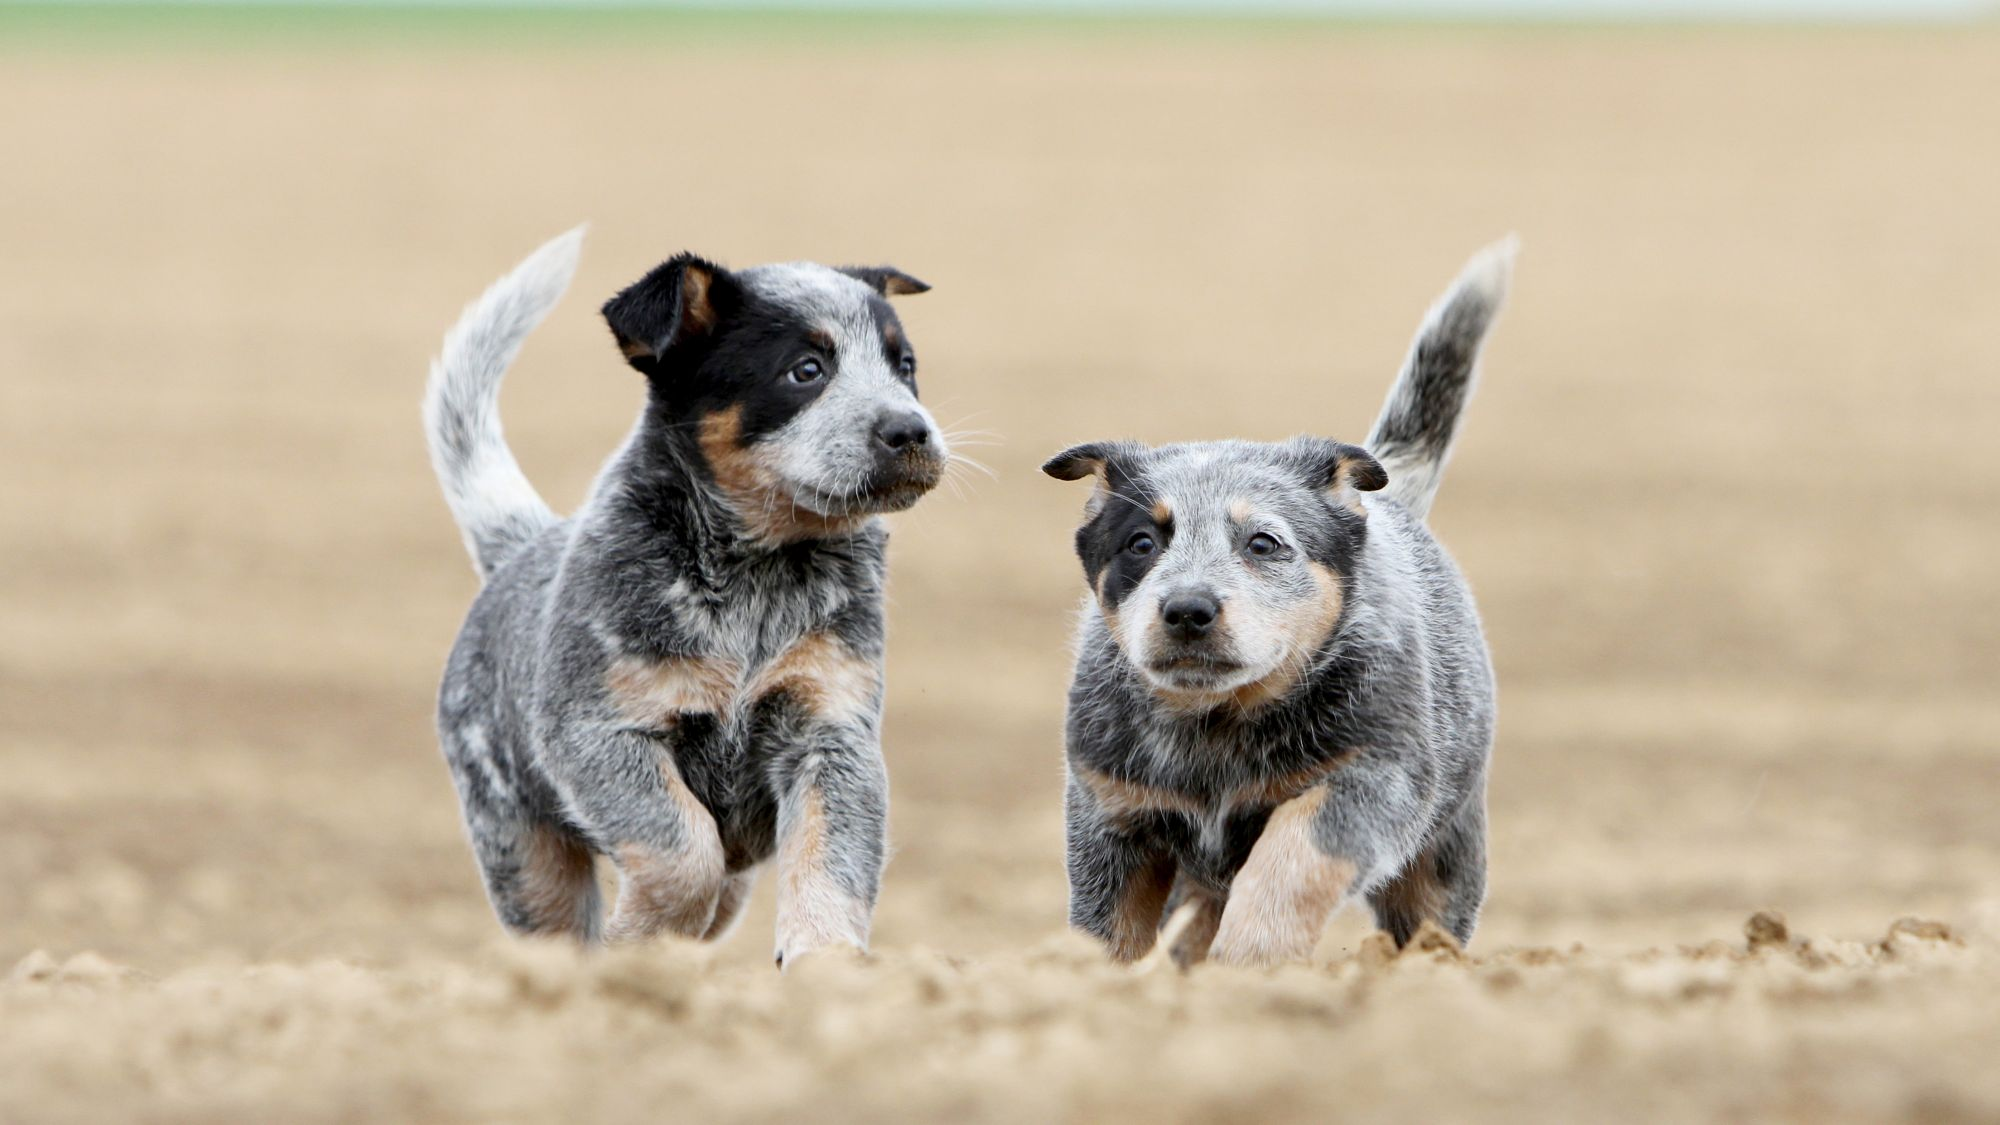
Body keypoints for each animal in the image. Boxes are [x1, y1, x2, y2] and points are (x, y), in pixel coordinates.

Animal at [420, 228, 944, 964]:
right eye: (805, 370)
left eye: (906, 366)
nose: (912, 431)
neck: (758, 571)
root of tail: (522, 546)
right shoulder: (598, 731)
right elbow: (682, 851)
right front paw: (637, 945)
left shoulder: (832, 732)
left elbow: (831, 864)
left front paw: (826, 967)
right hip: (520, 843)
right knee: (556, 921)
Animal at [1048, 236, 1512, 964]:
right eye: (1141, 542)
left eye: (1264, 542)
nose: (1187, 608)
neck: (1213, 728)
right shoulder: (1110, 812)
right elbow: (1106, 929)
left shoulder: (1370, 779)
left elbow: (1290, 862)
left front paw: (1251, 960)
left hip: (1445, 852)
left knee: (1429, 917)